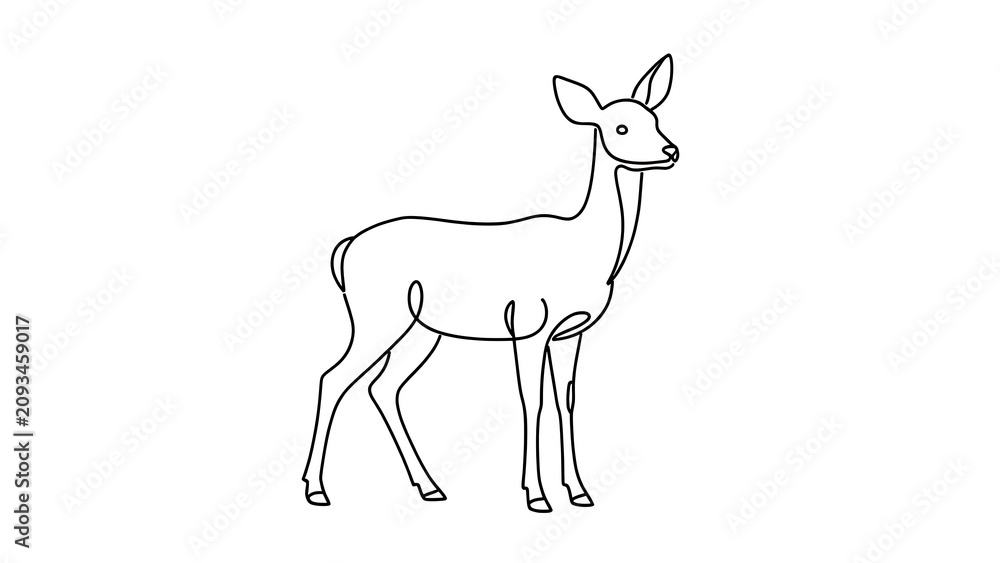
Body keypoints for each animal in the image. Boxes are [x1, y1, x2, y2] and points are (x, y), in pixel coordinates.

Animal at [303, 53, 679, 513]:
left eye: (655, 118)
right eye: (620, 127)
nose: (670, 150)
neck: (589, 251)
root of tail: (345, 250)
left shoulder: (571, 332)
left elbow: (567, 402)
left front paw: (579, 491)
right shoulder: (529, 325)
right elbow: (532, 401)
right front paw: (537, 495)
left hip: (421, 330)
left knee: (383, 388)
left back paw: (430, 486)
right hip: (377, 317)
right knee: (333, 378)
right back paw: (317, 489)